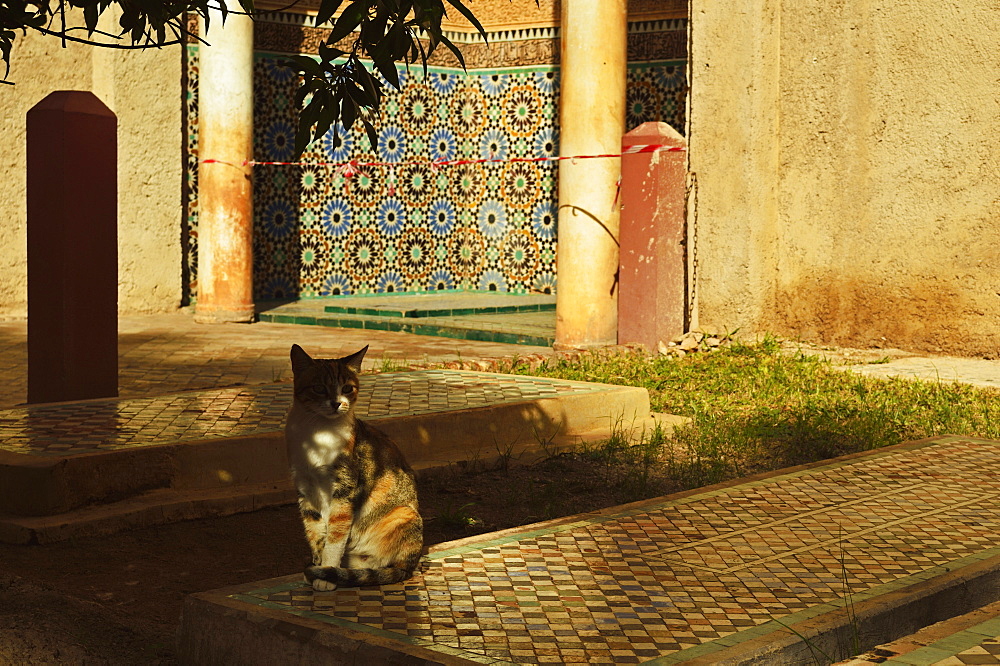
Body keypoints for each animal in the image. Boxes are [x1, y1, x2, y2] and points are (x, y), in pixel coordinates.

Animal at [286, 342, 422, 588]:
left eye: (347, 388)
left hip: (403, 514)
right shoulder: (305, 488)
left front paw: (325, 574)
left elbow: (335, 536)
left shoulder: (344, 489)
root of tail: (408, 567)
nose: (336, 403)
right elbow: (315, 534)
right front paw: (318, 569)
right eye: (319, 388)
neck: (318, 432)